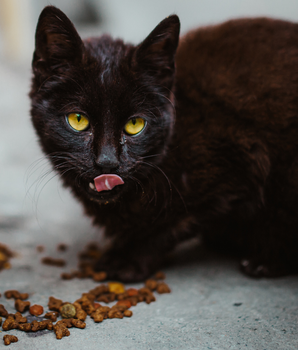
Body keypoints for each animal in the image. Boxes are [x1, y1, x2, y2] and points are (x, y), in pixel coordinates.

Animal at [29, 6, 298, 282]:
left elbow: (169, 223)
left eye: (135, 124)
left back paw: (263, 262)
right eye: (78, 120)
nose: (107, 162)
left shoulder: (244, 162)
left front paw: (126, 258)